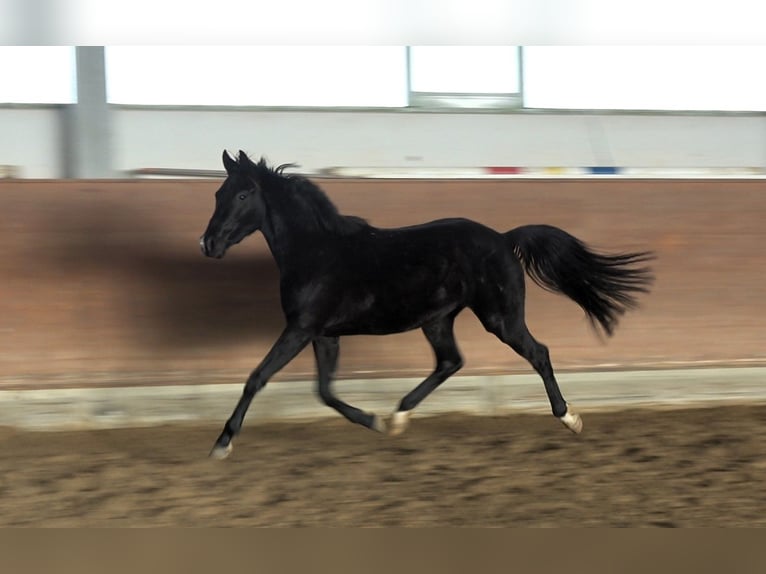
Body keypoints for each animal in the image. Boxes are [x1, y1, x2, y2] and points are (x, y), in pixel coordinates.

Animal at [200, 151, 656, 462]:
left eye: (242, 194)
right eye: (218, 193)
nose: (208, 243)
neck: (317, 252)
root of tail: (503, 238)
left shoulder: (300, 329)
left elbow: (257, 378)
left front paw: (222, 443)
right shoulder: (324, 335)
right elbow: (325, 391)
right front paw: (376, 421)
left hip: (500, 317)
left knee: (537, 352)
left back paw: (569, 418)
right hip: (438, 319)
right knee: (450, 361)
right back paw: (399, 416)